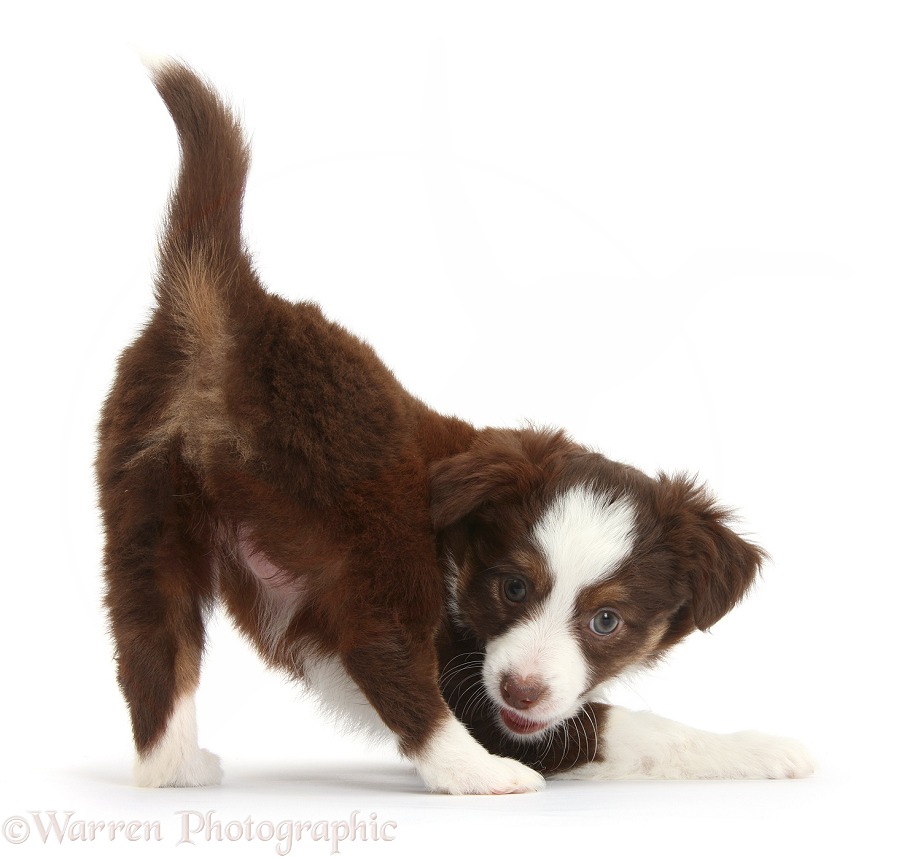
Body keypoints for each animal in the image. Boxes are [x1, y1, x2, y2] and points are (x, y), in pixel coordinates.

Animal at [98, 60, 816, 796]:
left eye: (606, 620)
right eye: (514, 587)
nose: (521, 690)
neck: (459, 558)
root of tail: (237, 306)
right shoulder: (481, 688)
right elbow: (633, 729)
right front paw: (763, 747)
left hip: (144, 504)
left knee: (152, 641)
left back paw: (174, 768)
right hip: (371, 517)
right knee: (384, 652)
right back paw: (476, 772)